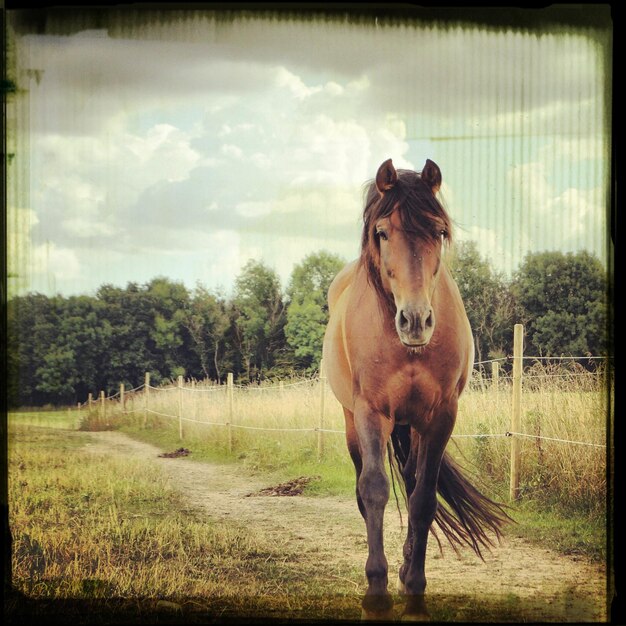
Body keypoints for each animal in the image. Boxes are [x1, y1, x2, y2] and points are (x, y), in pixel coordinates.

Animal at [322, 158, 508, 616]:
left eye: (438, 232)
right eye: (382, 232)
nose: (416, 321)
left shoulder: (441, 416)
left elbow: (423, 498)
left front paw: (415, 587)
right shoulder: (371, 413)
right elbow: (373, 490)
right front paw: (376, 589)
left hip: (414, 424)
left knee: (409, 480)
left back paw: (407, 568)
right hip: (353, 421)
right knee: (366, 487)